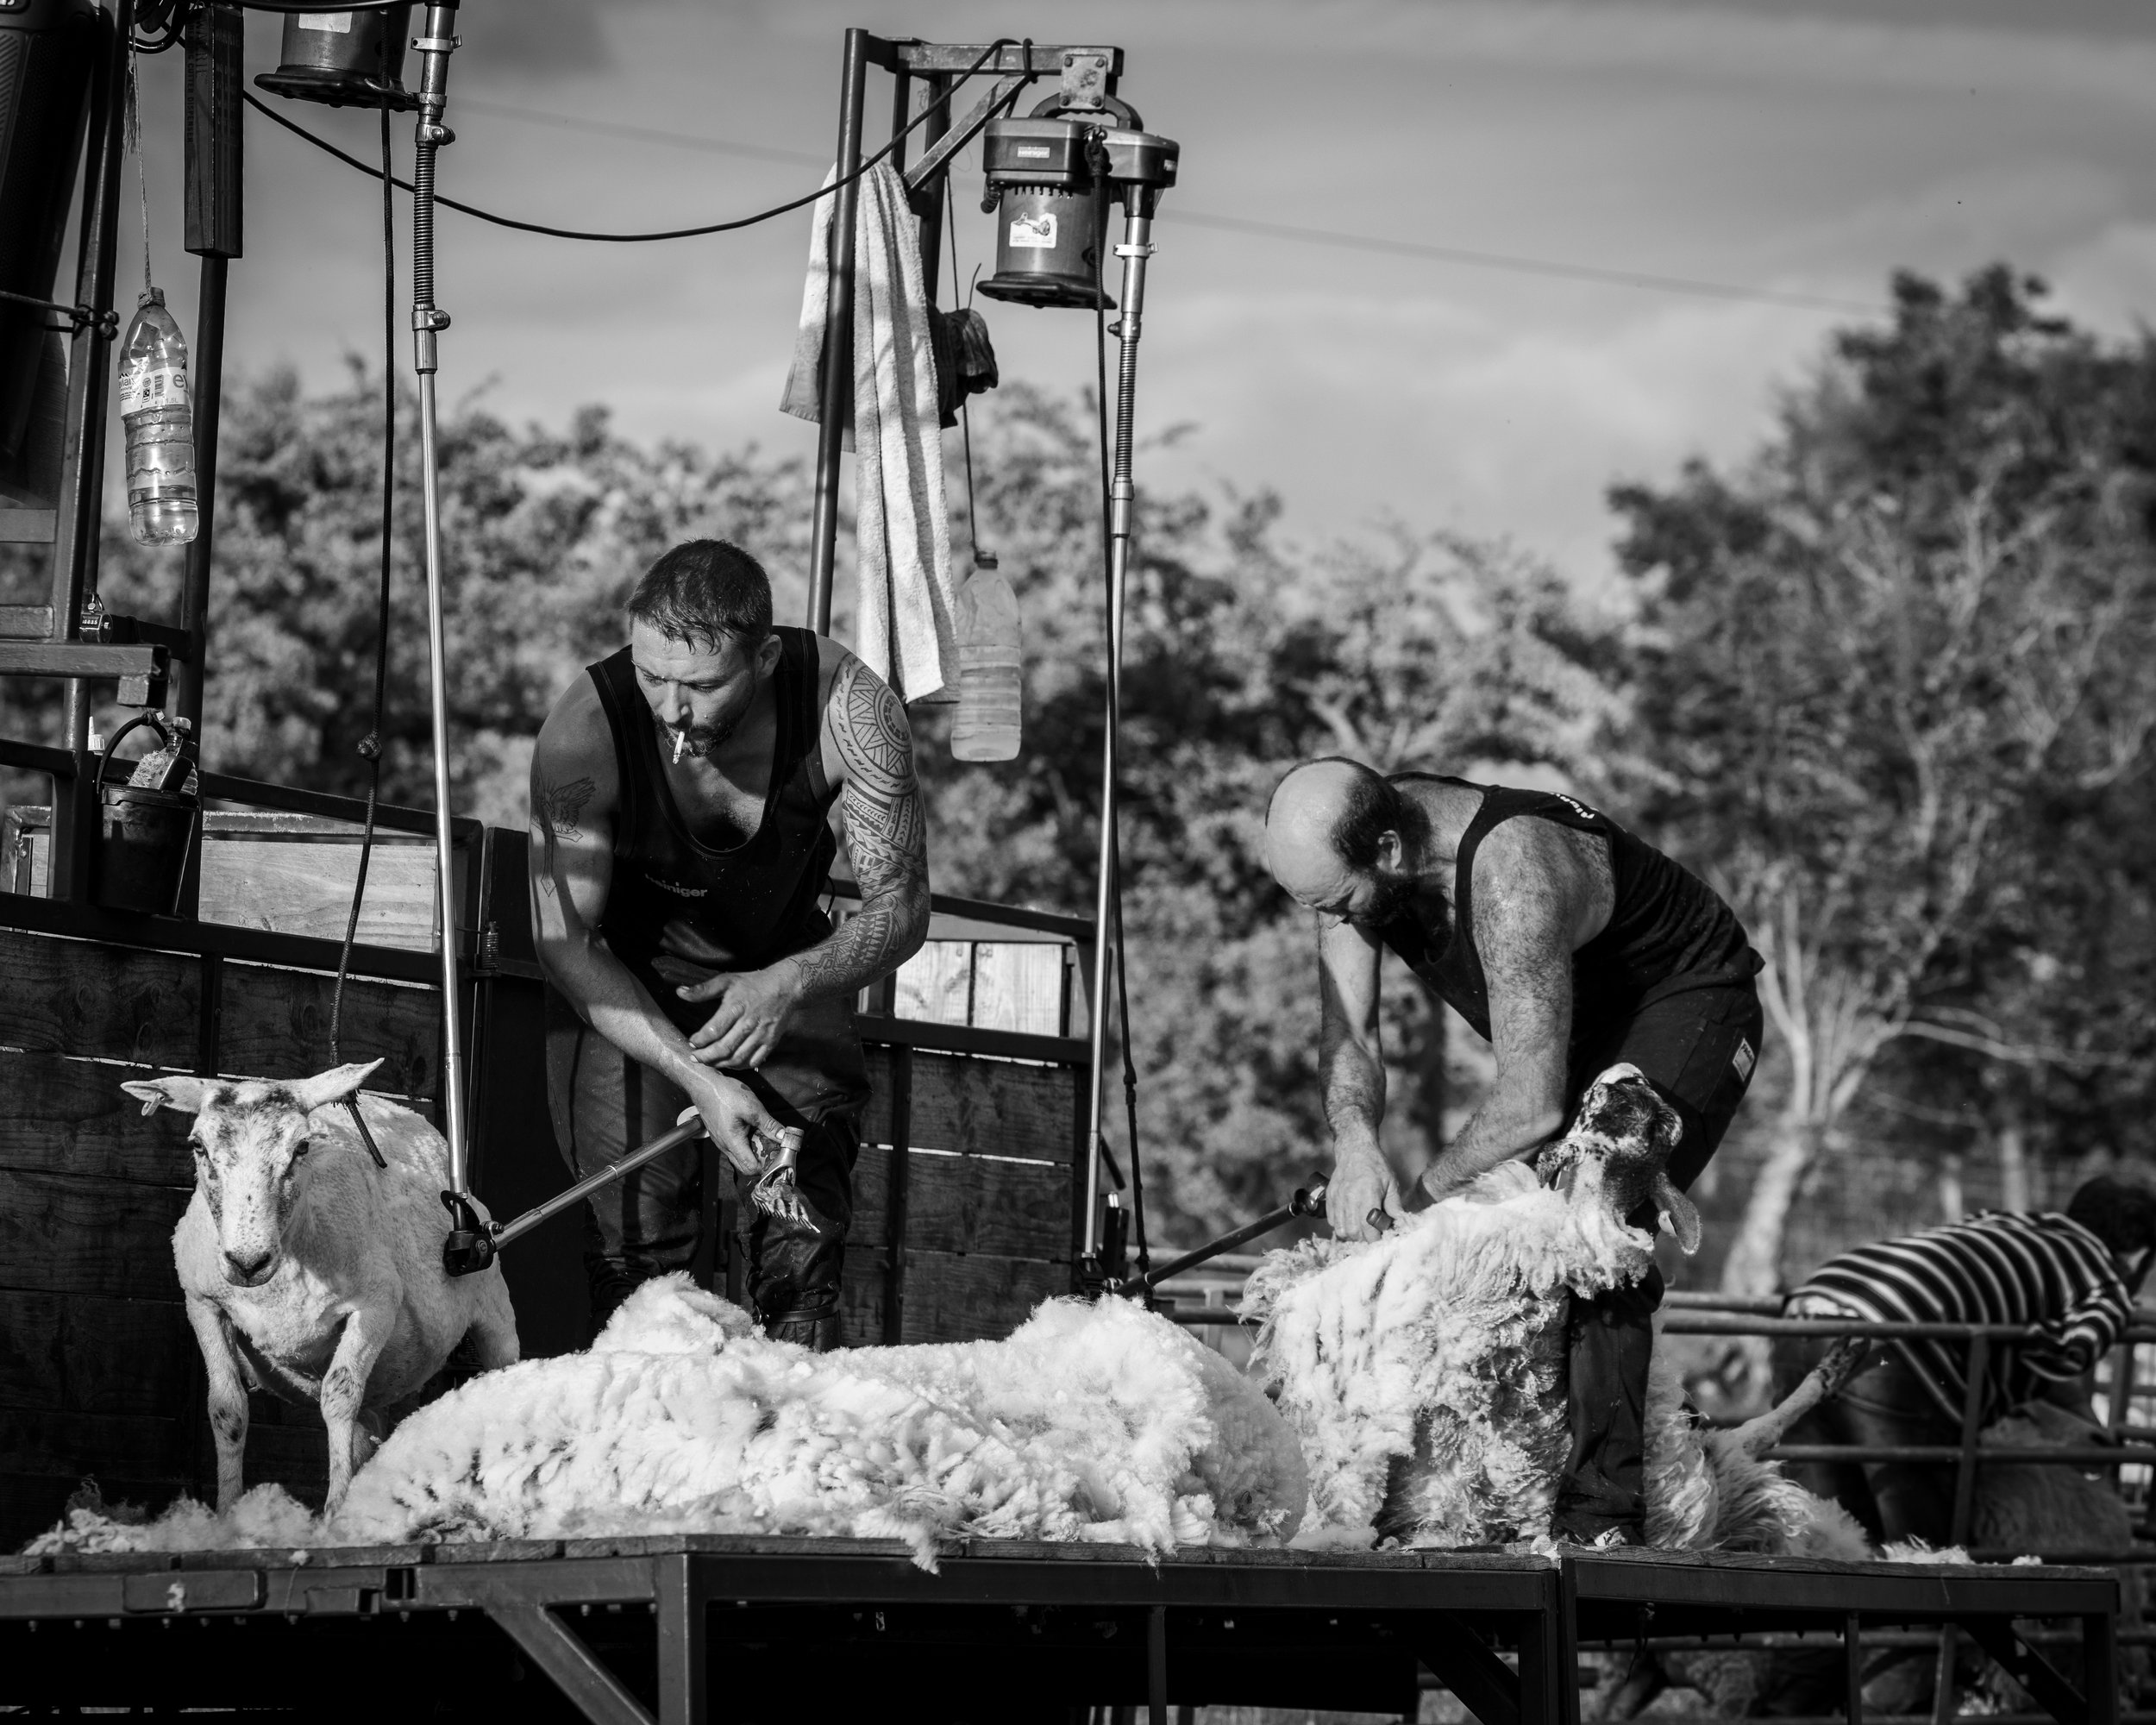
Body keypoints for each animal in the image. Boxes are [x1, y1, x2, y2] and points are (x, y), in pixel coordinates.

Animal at [122, 1059, 519, 1513]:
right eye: (198, 1146)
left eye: (302, 1147)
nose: (247, 1261)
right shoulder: (203, 1303)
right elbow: (227, 1408)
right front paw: (227, 1512)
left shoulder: (376, 1305)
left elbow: (339, 1398)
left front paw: (336, 1511)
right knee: (368, 1432)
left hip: (494, 1312)